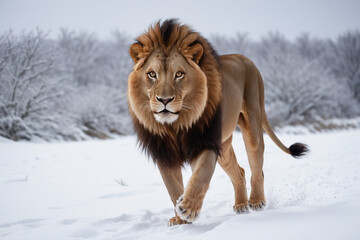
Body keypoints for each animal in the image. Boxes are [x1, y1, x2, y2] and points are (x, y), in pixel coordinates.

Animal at [126, 19, 306, 227]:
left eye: (179, 74)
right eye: (152, 74)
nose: (164, 100)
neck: (176, 125)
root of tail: (245, 58)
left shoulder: (205, 142)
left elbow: (200, 176)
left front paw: (188, 209)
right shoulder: (164, 152)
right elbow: (173, 188)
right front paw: (179, 219)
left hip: (252, 122)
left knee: (257, 167)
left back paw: (256, 201)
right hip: (224, 146)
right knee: (240, 172)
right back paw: (241, 205)